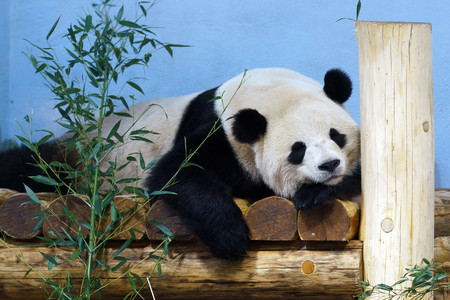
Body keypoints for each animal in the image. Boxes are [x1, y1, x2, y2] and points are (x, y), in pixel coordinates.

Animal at [0, 67, 358, 258]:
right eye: (298, 150)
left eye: (336, 136)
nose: (329, 165)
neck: (264, 92)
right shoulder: (220, 134)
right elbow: (176, 174)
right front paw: (230, 237)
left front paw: (317, 193)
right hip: (78, 157)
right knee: (31, 165)